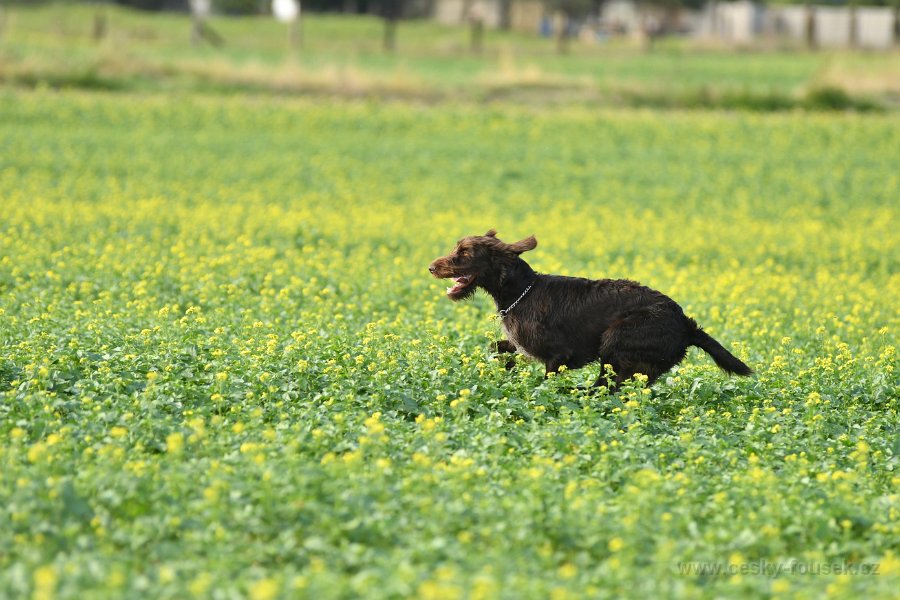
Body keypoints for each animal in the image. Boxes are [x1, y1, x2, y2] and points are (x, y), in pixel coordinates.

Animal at [428, 230, 752, 394]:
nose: (431, 267)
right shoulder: (522, 344)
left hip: (615, 340)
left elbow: (544, 381)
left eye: (465, 253)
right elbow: (498, 348)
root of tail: (686, 324)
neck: (522, 291)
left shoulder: (558, 356)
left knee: (606, 387)